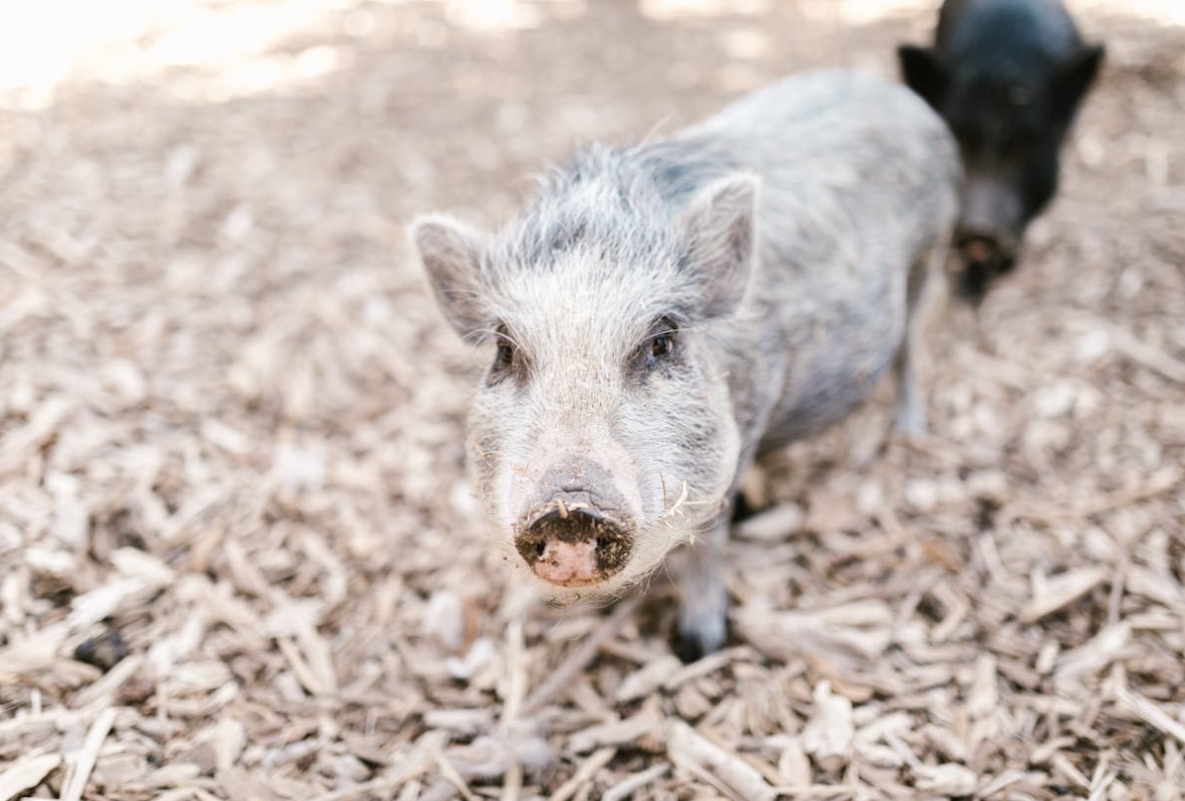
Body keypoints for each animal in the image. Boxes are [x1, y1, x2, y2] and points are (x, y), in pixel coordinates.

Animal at [412, 67, 957, 658]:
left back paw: (909, 432)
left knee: (911, 348)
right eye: (504, 350)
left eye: (662, 341)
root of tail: (890, 89)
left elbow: (708, 542)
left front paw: (698, 646)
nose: (569, 506)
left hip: (934, 249)